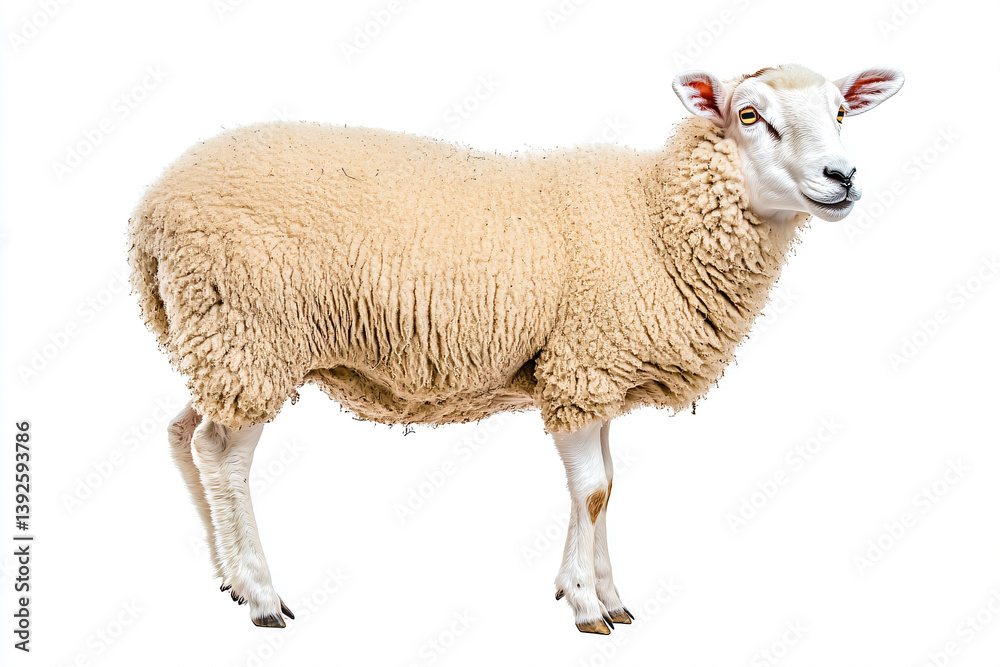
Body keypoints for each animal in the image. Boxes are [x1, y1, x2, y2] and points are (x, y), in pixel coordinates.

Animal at [128, 63, 904, 633]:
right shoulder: (583, 366)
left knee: (182, 433)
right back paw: (260, 593)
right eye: (748, 115)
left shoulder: (589, 373)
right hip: (250, 334)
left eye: (841, 111)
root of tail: (152, 210)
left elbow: (605, 486)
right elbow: (593, 491)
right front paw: (587, 606)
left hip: (213, 336)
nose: (842, 177)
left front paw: (602, 593)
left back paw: (227, 578)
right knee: (220, 454)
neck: (654, 217)